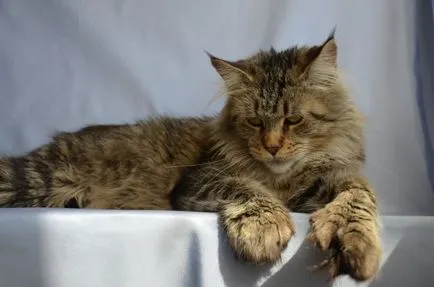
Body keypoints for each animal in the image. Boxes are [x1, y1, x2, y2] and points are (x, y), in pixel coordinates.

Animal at [0, 32, 380, 284]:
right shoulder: (200, 180)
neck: (279, 178)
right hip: (36, 181)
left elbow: (358, 196)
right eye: (255, 122)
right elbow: (249, 191)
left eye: (293, 120)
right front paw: (263, 228)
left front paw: (356, 240)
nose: (271, 146)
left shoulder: (328, 179)